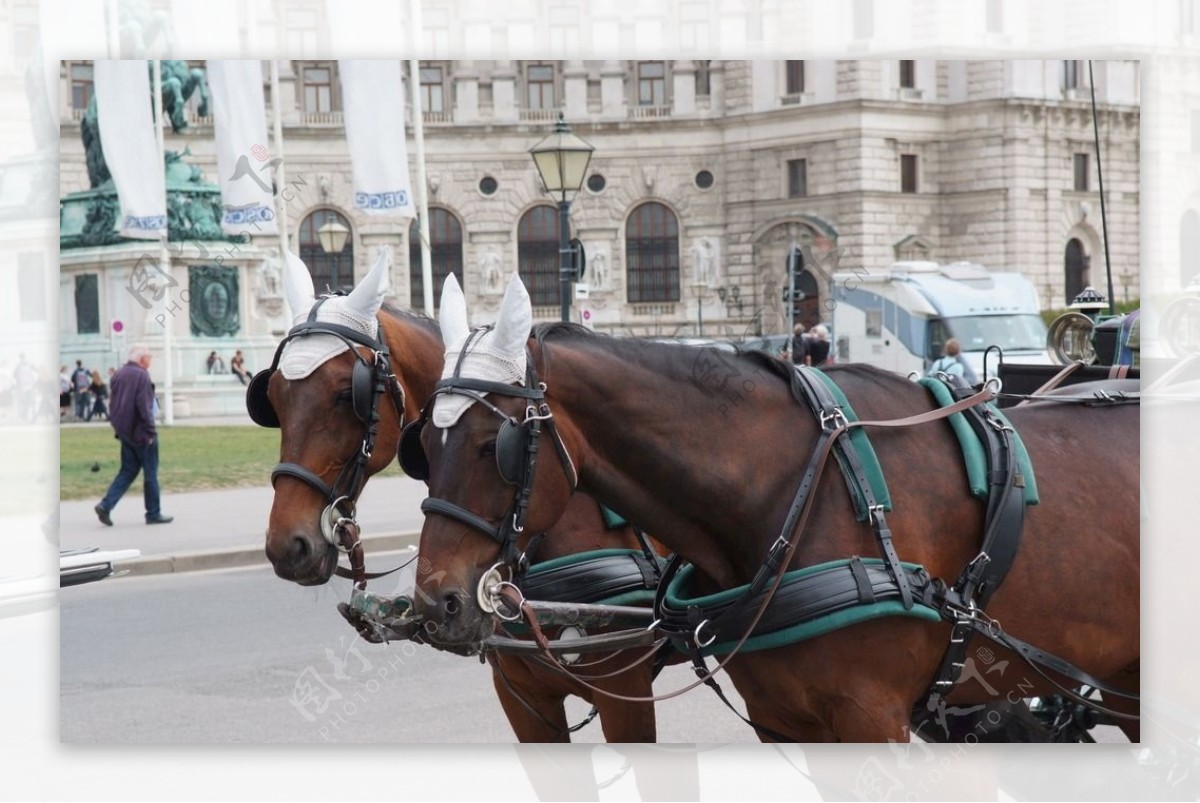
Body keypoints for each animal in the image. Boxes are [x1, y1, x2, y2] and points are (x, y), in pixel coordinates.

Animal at [410, 278, 1132, 744]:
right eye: (423, 444)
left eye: (493, 445)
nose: (437, 602)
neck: (799, 496)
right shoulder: (780, 721)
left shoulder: (868, 718)